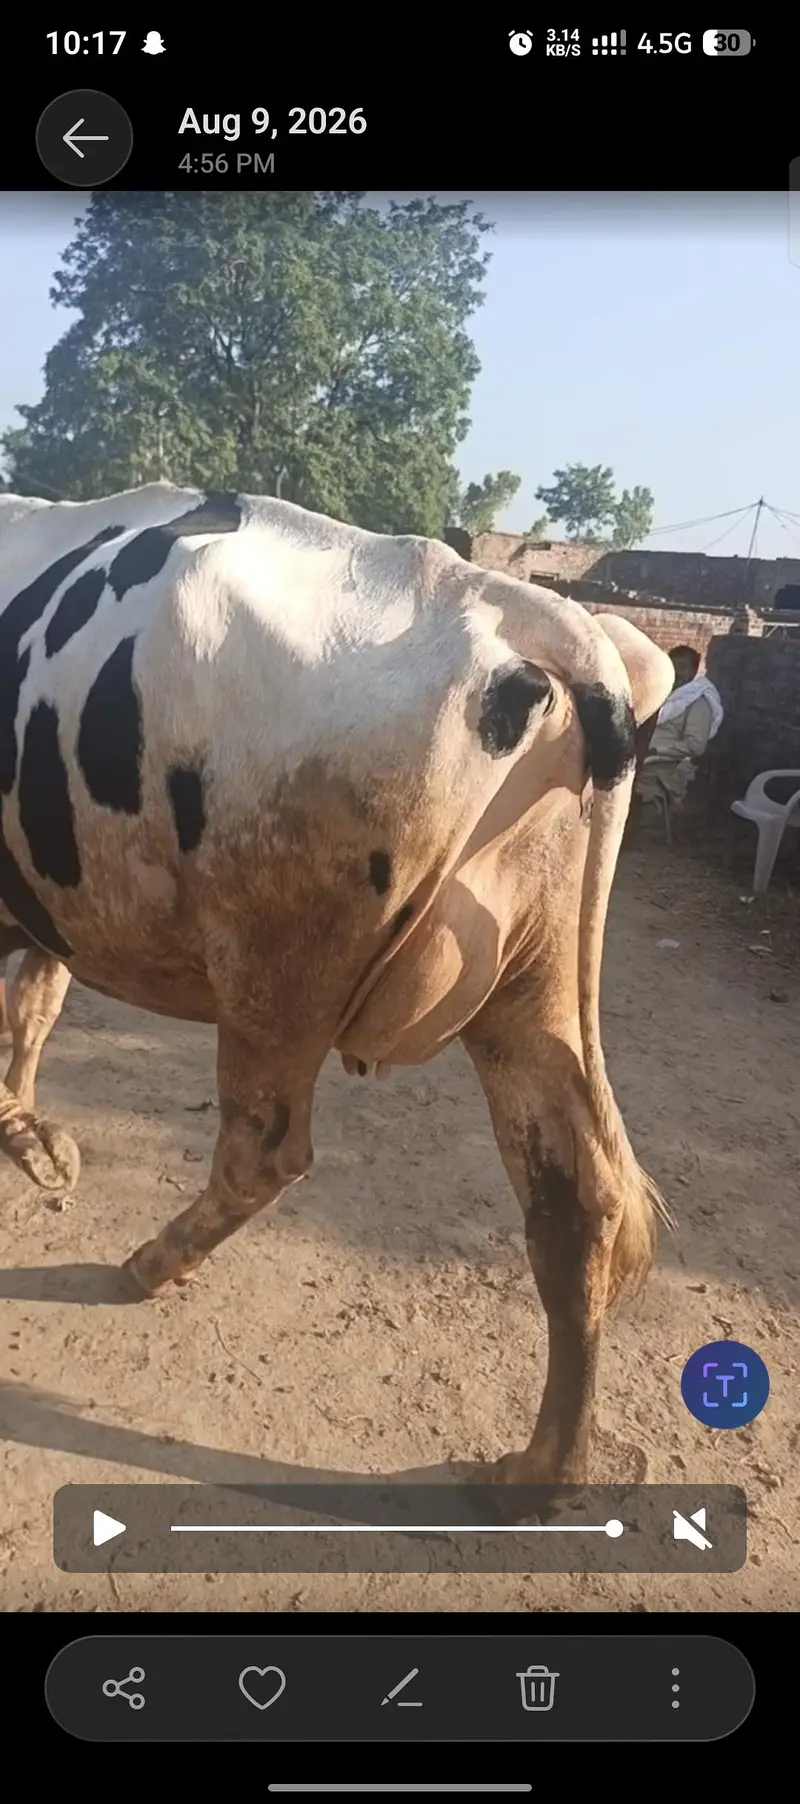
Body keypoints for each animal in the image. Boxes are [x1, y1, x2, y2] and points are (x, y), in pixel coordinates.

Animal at [0, 482, 675, 1485]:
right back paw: (539, 1474)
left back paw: (149, 1265)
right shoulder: (50, 898)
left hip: (272, 967)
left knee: (264, 1149)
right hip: (534, 984)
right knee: (575, 1198)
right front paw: (28, 1134)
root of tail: (536, 614)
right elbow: (36, 1002)